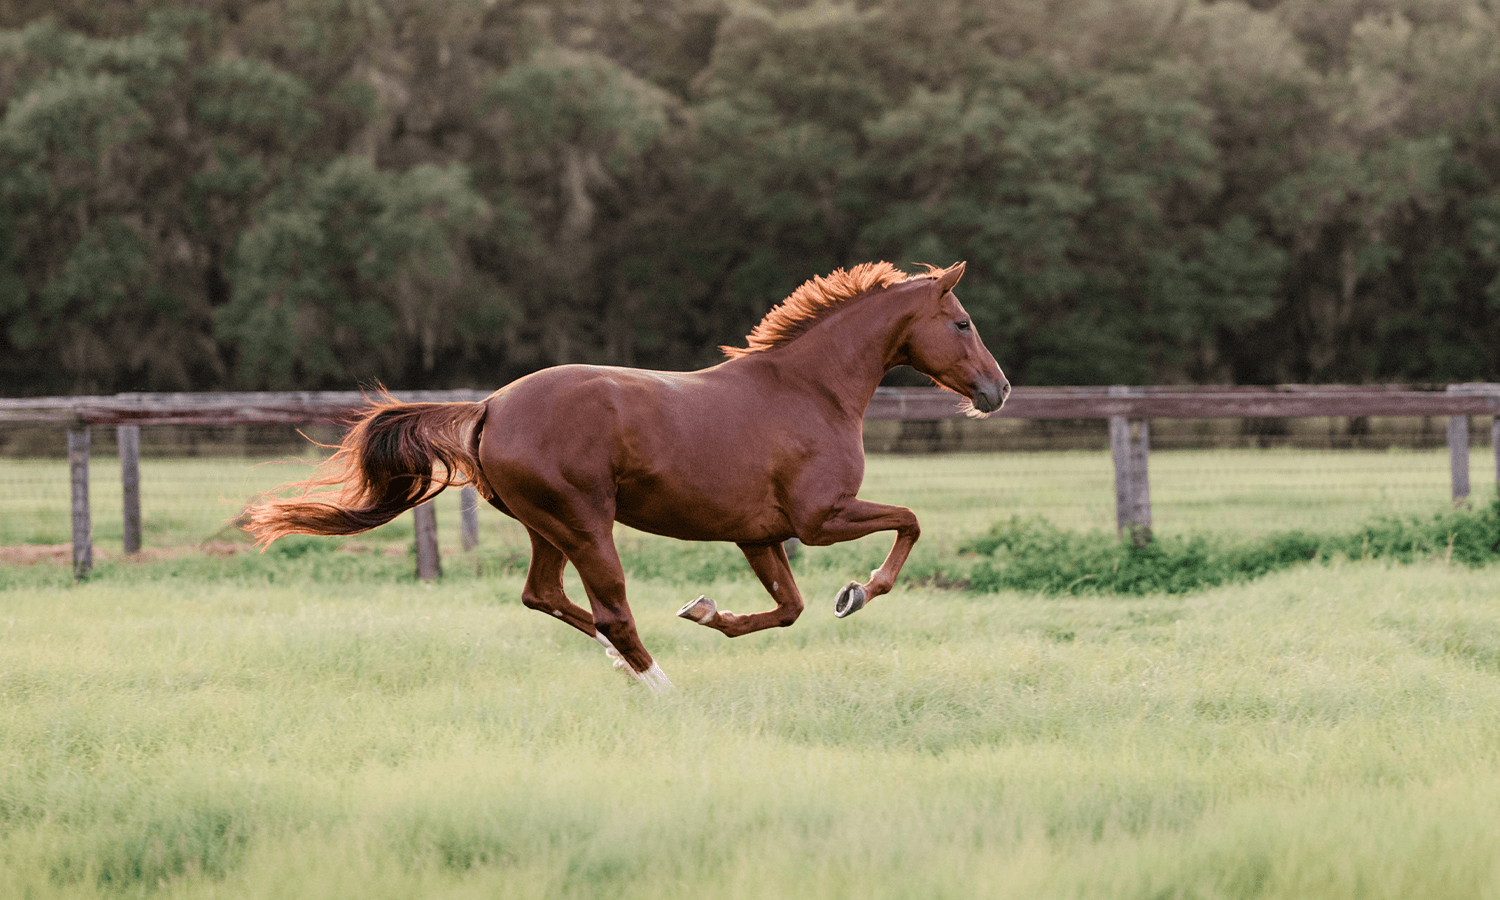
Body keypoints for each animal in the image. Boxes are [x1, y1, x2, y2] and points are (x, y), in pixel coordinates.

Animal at [245, 261, 1008, 691]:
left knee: (543, 595)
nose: (998, 391)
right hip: (587, 526)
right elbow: (909, 522)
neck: (810, 389)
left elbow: (786, 609)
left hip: (549, 528)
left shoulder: (759, 534)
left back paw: (624, 666)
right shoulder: (821, 519)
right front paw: (858, 592)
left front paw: (707, 611)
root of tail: (491, 406)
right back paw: (665, 690)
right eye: (963, 323)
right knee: (611, 610)